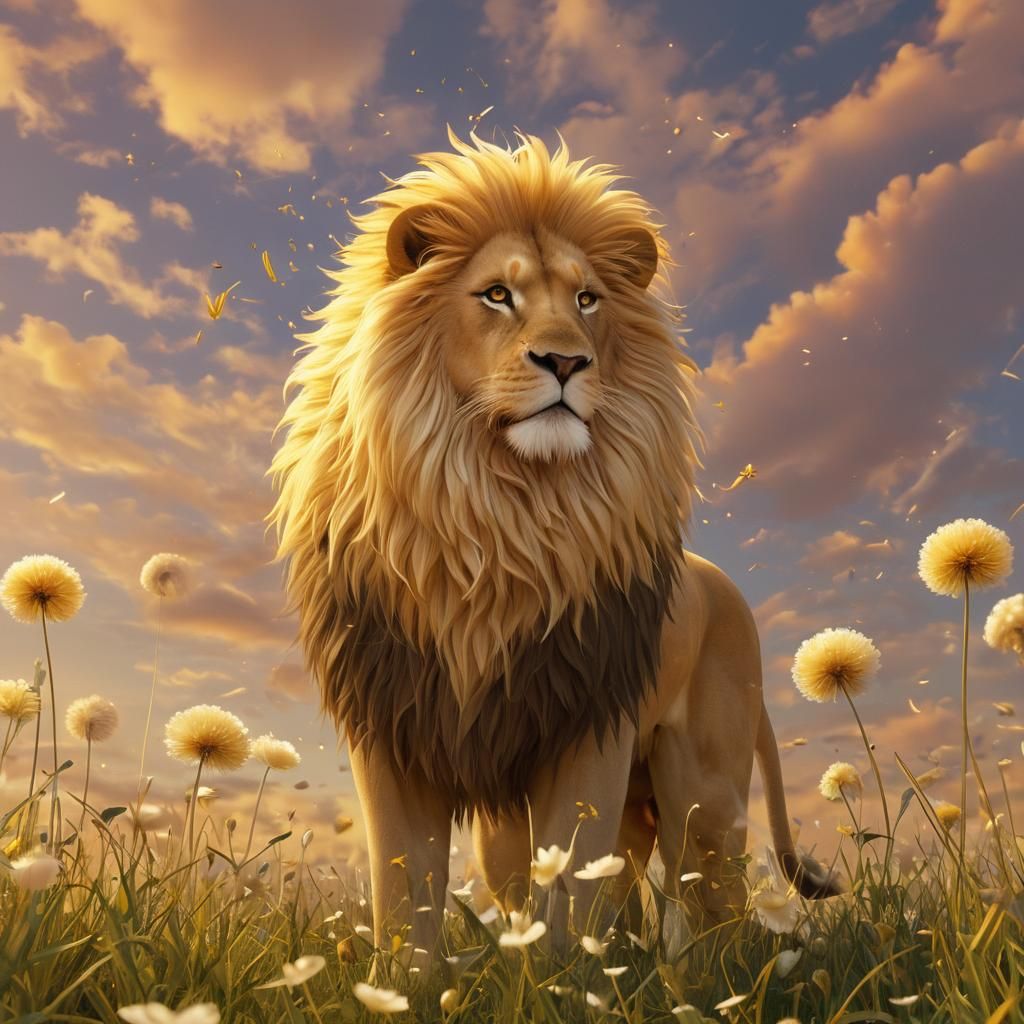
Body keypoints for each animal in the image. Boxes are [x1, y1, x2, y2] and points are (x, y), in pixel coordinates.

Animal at [269, 129, 835, 958]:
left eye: (586, 299)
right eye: (496, 295)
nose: (566, 361)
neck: (499, 520)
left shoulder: (586, 727)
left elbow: (571, 886)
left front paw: (568, 974)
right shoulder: (394, 729)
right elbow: (405, 897)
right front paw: (410, 978)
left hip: (701, 785)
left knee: (711, 893)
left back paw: (719, 971)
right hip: (557, 820)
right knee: (612, 884)